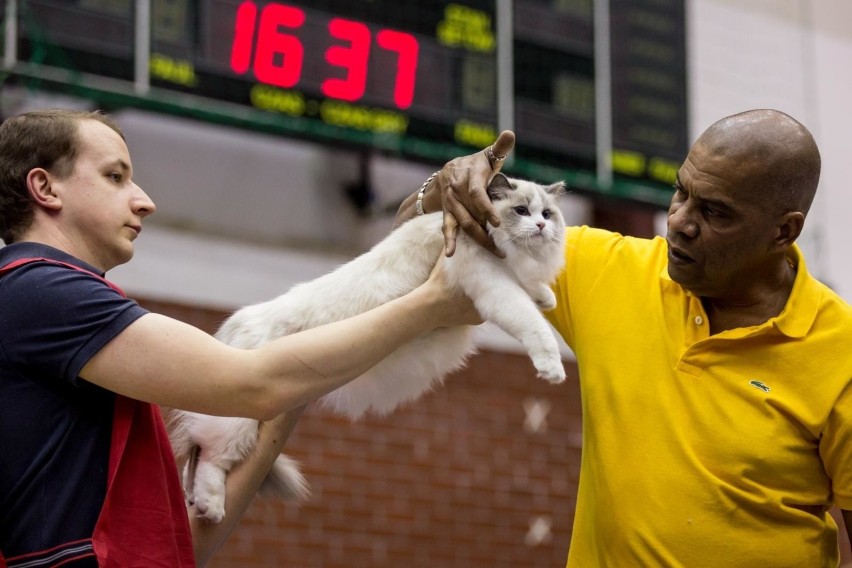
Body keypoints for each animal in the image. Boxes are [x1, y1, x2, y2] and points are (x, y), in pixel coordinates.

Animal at [168, 174, 564, 524]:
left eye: (547, 213)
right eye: (521, 211)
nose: (540, 227)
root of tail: (236, 324)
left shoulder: (509, 281)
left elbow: (533, 295)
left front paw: (546, 297)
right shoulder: (494, 288)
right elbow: (533, 326)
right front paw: (552, 368)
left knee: (195, 459)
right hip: (238, 424)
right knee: (211, 460)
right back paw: (211, 507)